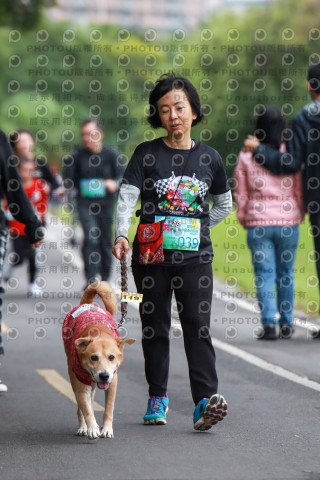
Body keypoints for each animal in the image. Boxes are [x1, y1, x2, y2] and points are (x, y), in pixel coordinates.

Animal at [62, 282, 135, 438]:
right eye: (93, 357)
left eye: (111, 357)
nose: (104, 375)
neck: (98, 331)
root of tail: (88, 304)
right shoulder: (81, 386)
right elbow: (87, 410)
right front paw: (92, 428)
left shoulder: (113, 382)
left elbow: (108, 409)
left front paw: (106, 429)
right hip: (74, 377)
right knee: (81, 407)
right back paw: (84, 427)